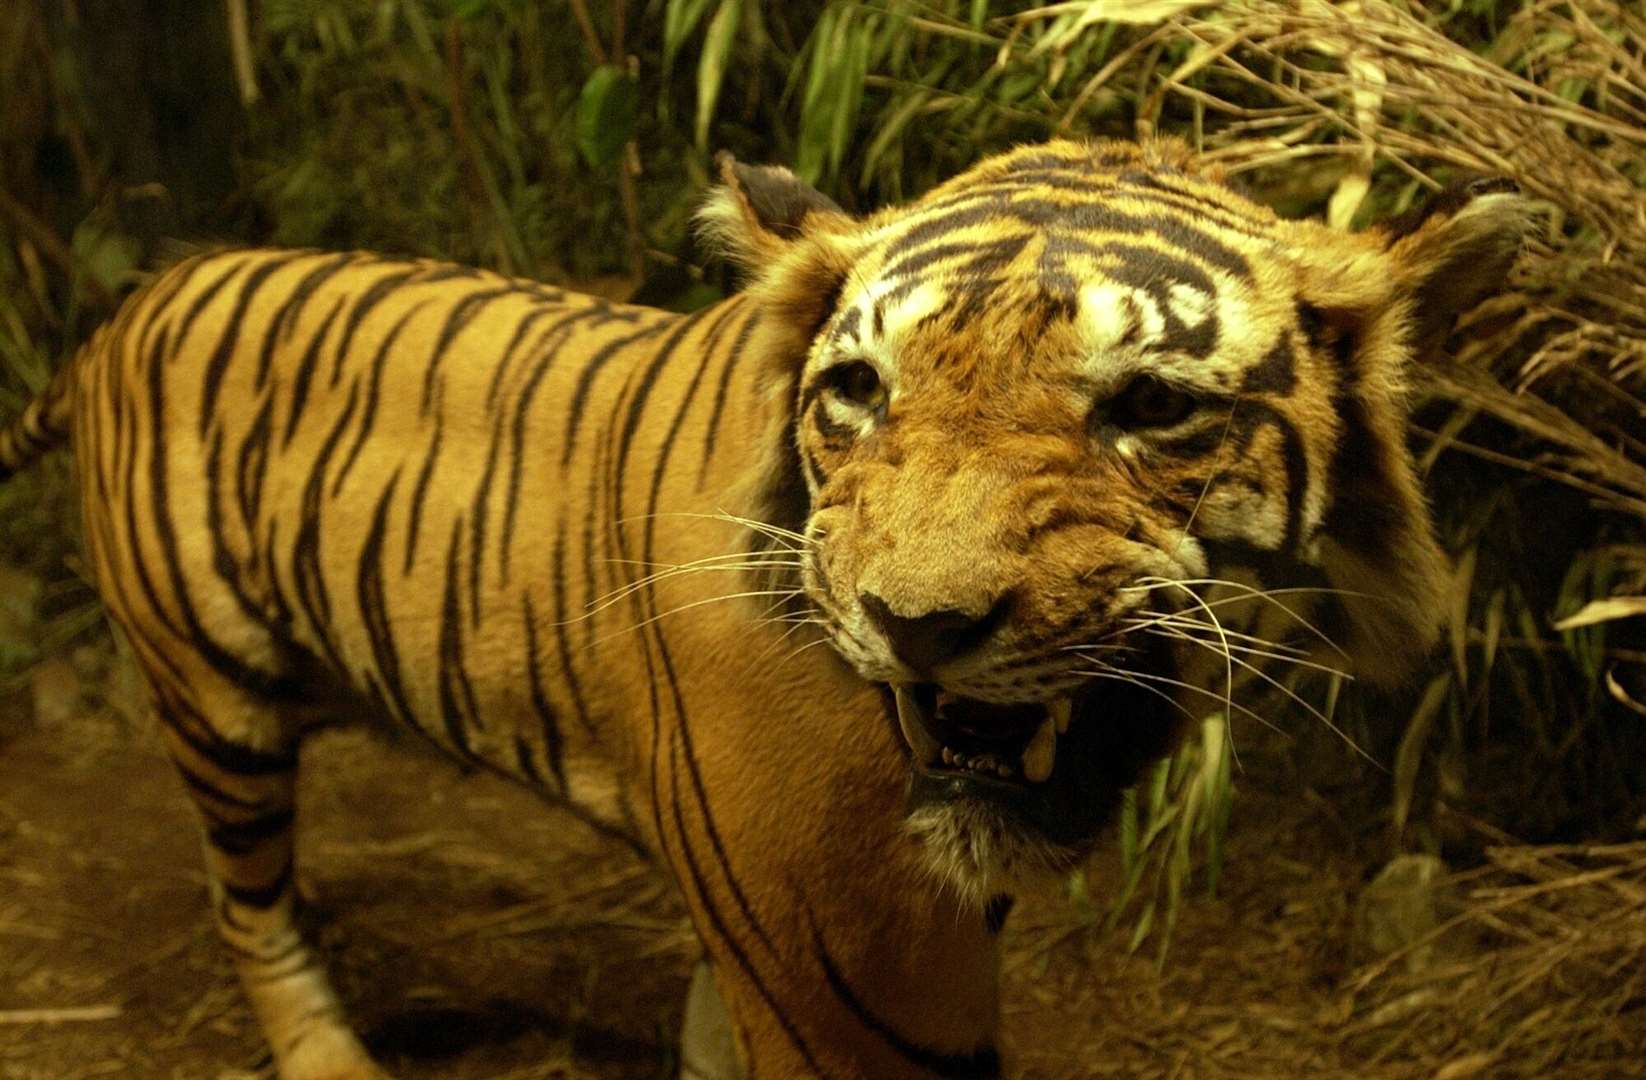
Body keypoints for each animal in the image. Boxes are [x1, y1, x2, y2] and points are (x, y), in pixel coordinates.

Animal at [0, 139, 1527, 1073]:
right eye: (856, 390)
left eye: (1148, 407)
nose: (917, 625)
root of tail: (119, 310)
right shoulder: (843, 959)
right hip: (216, 698)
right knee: (244, 904)